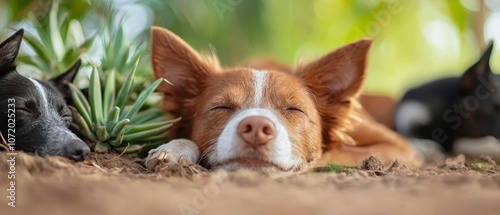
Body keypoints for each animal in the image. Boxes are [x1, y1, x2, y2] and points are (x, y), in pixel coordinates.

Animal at [146, 26, 422, 175]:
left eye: (294, 109)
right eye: (221, 107)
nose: (256, 128)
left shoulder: (398, 148)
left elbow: (332, 153)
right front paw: (174, 148)